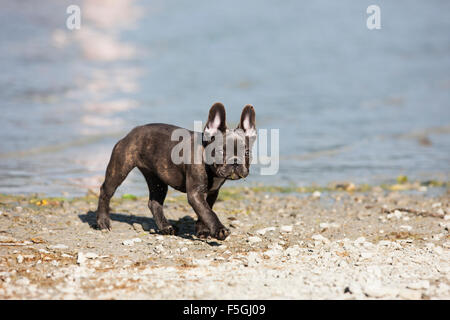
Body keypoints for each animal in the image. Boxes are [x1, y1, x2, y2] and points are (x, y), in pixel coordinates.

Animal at [95, 102, 256, 240]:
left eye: (247, 152)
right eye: (221, 151)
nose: (235, 161)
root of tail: (132, 131)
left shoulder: (211, 193)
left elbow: (205, 211)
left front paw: (202, 231)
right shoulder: (195, 193)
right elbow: (208, 212)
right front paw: (219, 230)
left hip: (157, 180)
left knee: (154, 203)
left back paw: (166, 227)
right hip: (119, 169)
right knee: (105, 192)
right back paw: (103, 222)